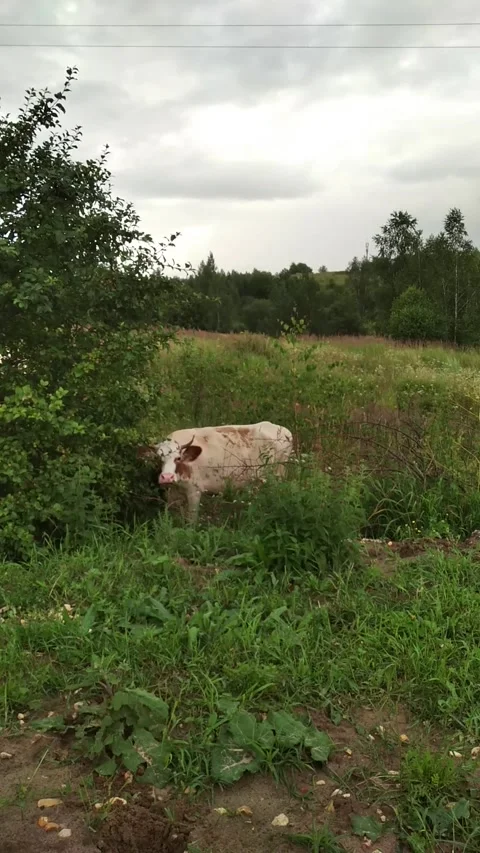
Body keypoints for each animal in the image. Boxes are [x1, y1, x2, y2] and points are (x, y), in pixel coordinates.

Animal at [141, 421, 293, 521]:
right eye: (158, 458)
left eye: (178, 458)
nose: (166, 477)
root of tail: (284, 431)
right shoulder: (172, 492)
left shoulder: (194, 490)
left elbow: (191, 519)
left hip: (277, 476)